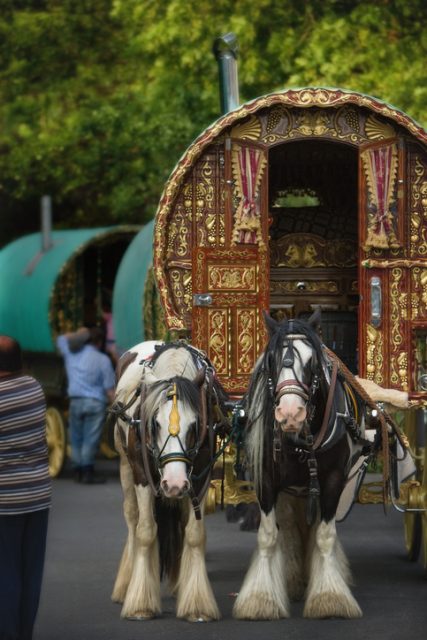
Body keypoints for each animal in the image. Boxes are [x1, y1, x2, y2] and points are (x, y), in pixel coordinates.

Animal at [110, 342, 229, 624]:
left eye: (195, 424)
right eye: (155, 423)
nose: (174, 484)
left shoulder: (199, 476)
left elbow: (195, 534)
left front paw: (197, 605)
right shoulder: (143, 475)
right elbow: (145, 531)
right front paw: (140, 605)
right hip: (125, 465)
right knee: (132, 518)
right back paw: (126, 583)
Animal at [234, 310, 372, 620]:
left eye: (312, 362)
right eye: (271, 361)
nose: (290, 414)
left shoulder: (332, 480)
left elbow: (324, 535)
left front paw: (330, 598)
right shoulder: (266, 480)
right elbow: (269, 535)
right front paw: (261, 599)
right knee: (289, 527)